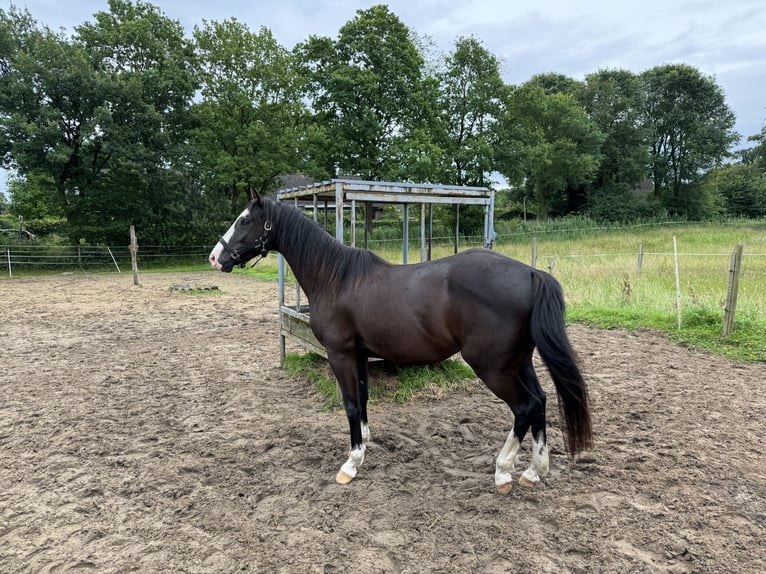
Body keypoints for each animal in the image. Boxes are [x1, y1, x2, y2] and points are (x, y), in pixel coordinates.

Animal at [207, 195, 592, 496]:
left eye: (245, 220)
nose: (214, 257)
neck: (336, 278)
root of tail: (531, 273)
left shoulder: (340, 354)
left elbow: (350, 404)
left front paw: (351, 463)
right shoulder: (360, 354)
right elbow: (362, 399)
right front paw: (365, 442)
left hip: (493, 368)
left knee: (525, 407)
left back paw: (503, 471)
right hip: (518, 362)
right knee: (540, 401)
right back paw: (533, 471)